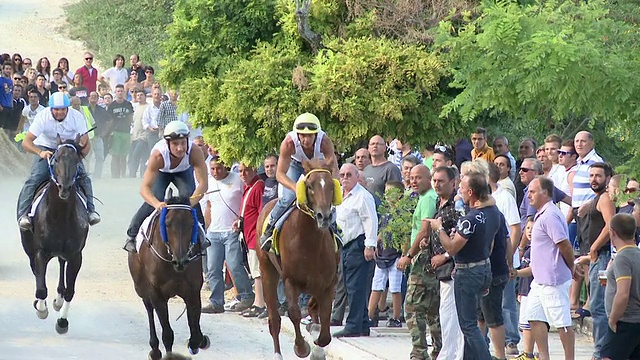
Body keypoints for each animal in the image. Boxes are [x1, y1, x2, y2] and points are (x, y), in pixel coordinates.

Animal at [20, 135, 90, 334]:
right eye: (56, 159)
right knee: (36, 270)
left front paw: (62, 322)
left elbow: (70, 290)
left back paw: (58, 300)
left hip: (63, 253)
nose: (64, 188)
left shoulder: (75, 255)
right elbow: (41, 287)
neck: (61, 216)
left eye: (76, 160)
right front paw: (41, 309)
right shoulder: (40, 252)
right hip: (29, 247)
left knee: (60, 265)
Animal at [127, 186, 210, 360]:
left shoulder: (192, 291)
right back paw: (154, 348)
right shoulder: (156, 293)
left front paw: (198, 341)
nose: (181, 260)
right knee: (149, 309)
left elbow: (194, 329)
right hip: (141, 288)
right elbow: (167, 333)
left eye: (192, 223)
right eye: (167, 223)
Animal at [258, 159, 342, 360]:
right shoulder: (291, 280)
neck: (311, 244)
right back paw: (278, 354)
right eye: (310, 186)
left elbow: (325, 326)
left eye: (331, 186)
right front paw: (302, 347)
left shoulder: (328, 283)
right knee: (274, 319)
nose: (324, 216)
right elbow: (294, 313)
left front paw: (317, 345)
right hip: (267, 271)